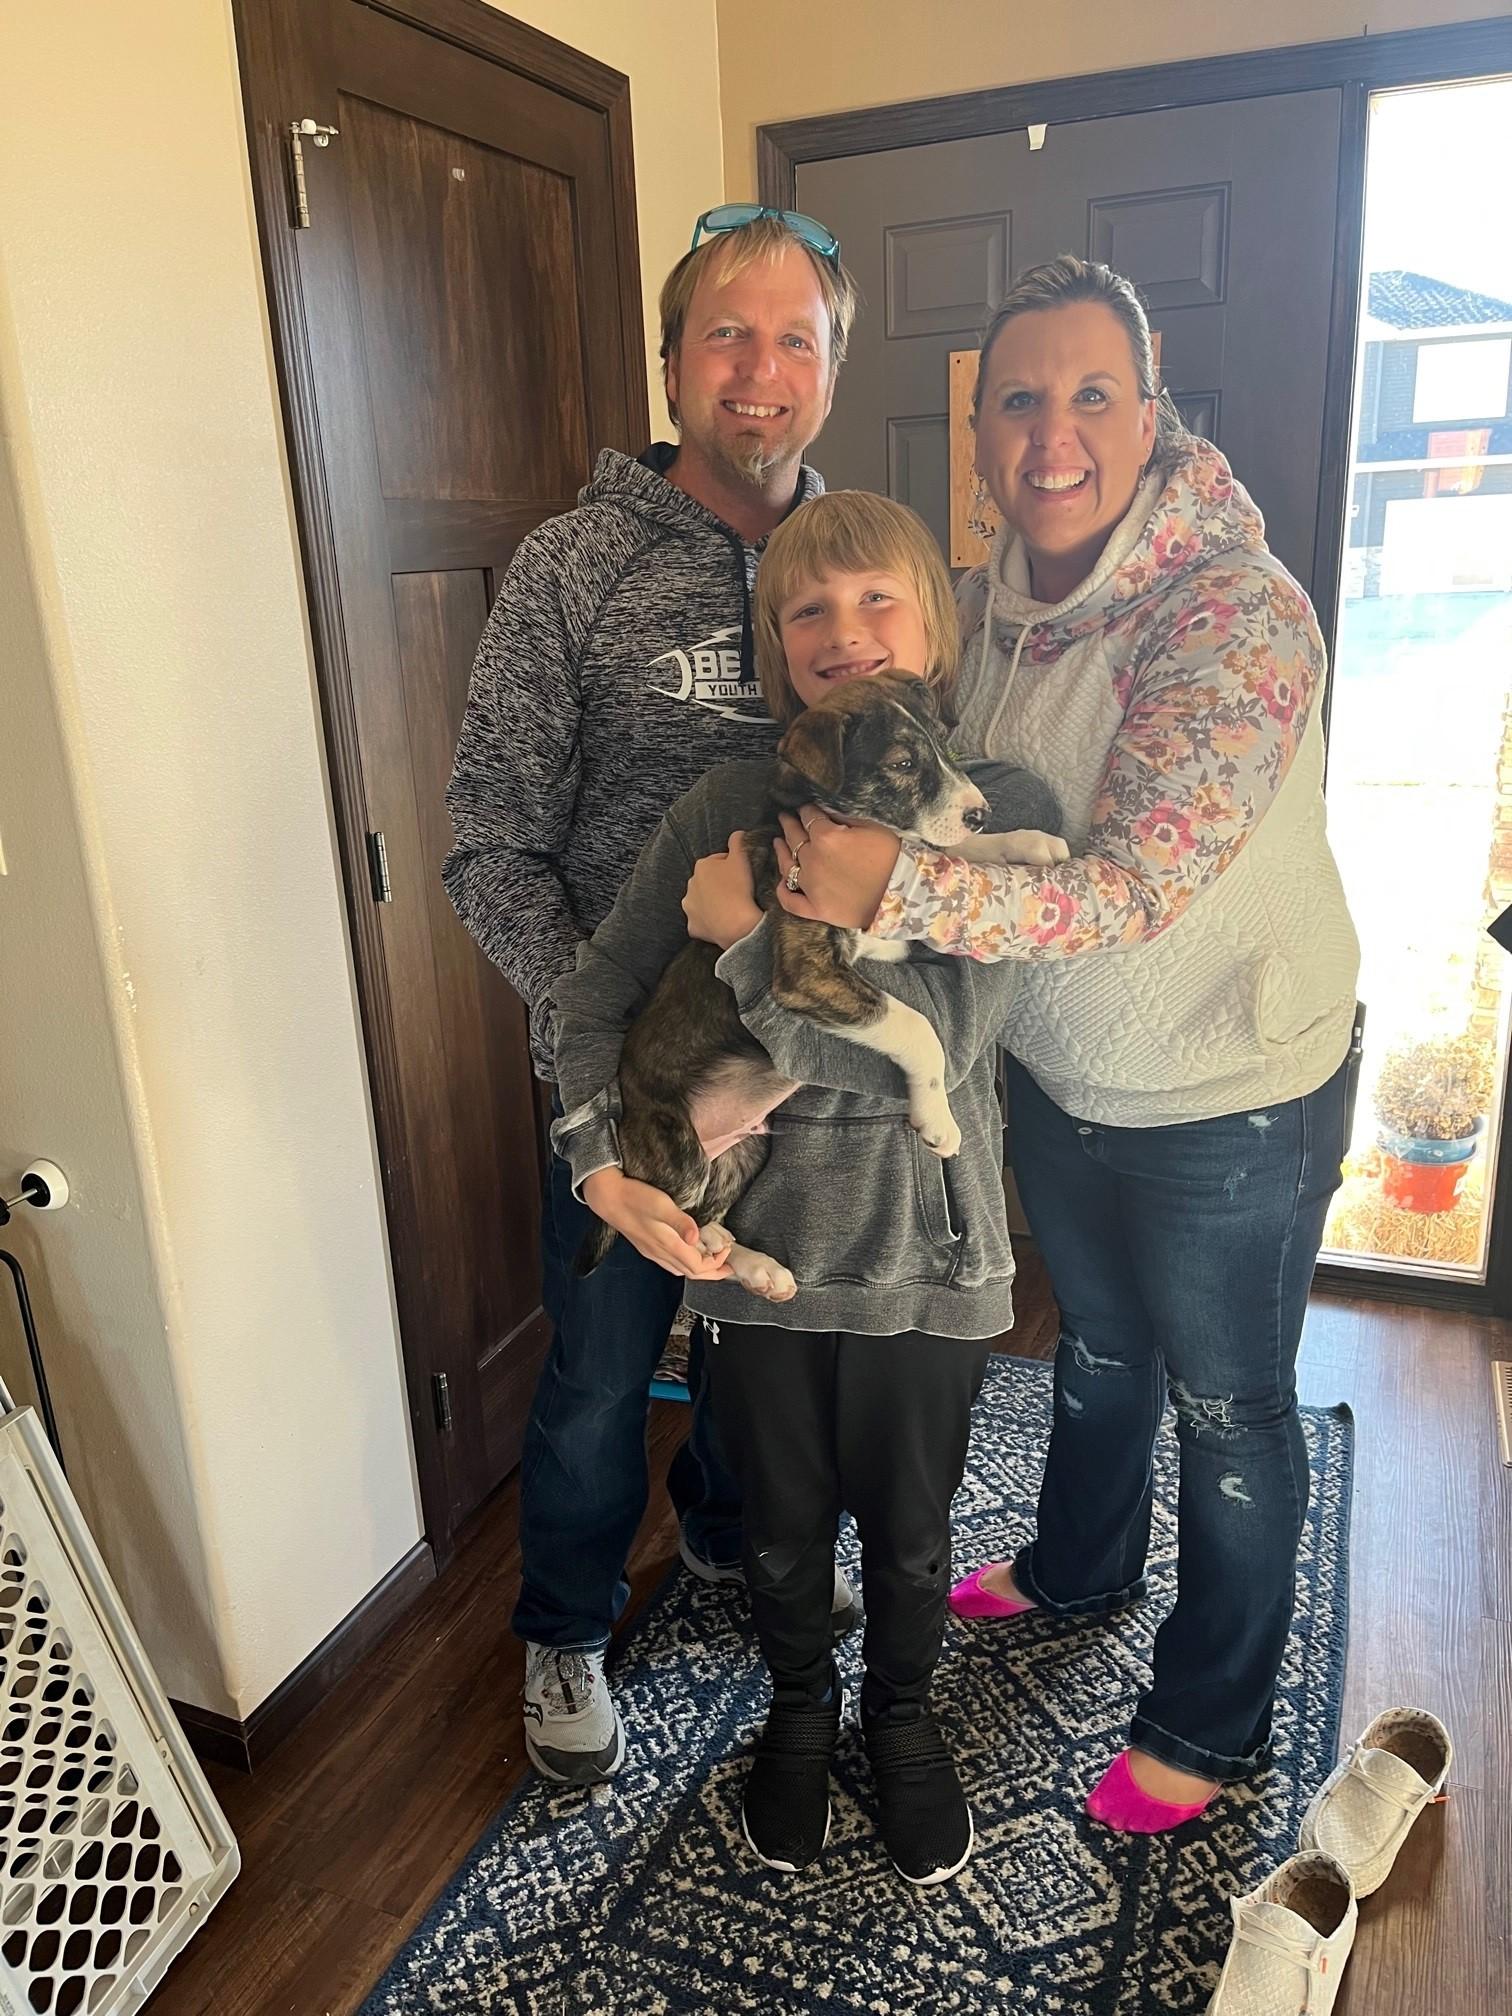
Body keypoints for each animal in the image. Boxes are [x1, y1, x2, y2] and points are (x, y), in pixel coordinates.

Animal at [580, 677, 1064, 1298]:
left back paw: (758, 1268)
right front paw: (937, 1118)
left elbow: (934, 853)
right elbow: (917, 1025)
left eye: (944, 746)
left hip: (751, 1148)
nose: (981, 813)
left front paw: (1028, 843)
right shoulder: (807, 969)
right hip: (676, 1151)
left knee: (709, 1222)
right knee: (670, 1227)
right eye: (902, 764)